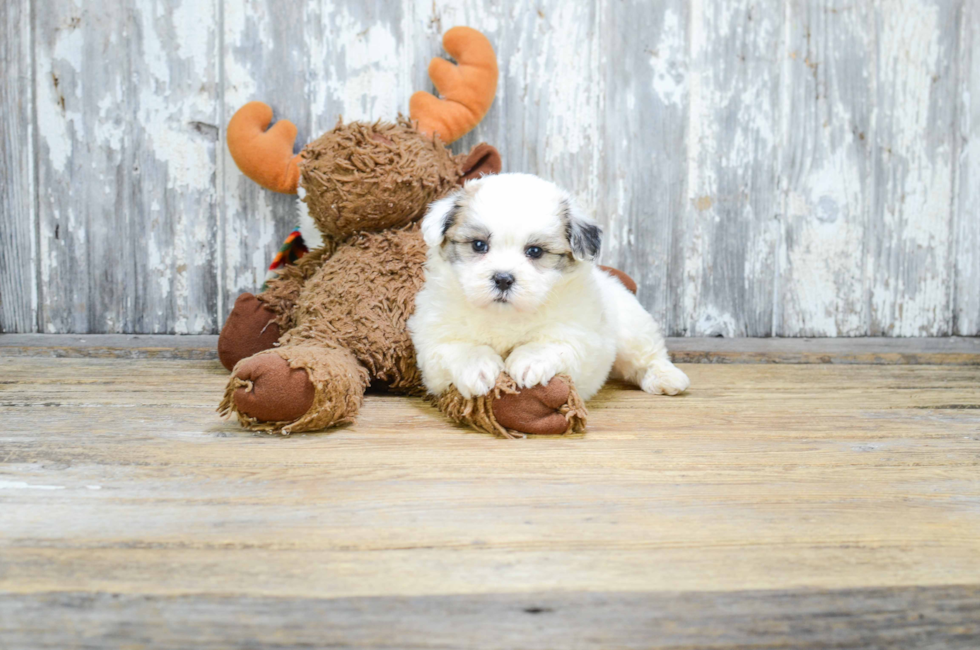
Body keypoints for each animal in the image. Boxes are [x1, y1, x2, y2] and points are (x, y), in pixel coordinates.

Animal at [406, 175, 688, 402]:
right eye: (478, 245)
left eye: (535, 251)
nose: (503, 279)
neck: (505, 315)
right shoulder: (435, 342)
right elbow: (458, 347)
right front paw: (478, 367)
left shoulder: (577, 334)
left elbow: (550, 343)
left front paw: (528, 361)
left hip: (632, 328)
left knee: (648, 355)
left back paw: (667, 378)